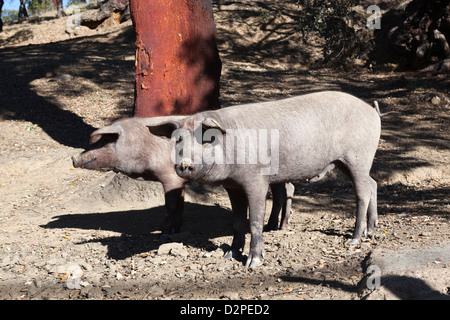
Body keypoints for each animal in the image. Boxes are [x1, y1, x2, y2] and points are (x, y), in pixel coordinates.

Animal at [71, 117, 294, 240]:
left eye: (106, 139)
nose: (74, 158)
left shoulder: (170, 177)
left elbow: (170, 206)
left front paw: (164, 234)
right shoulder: (179, 181)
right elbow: (179, 204)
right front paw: (178, 228)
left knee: (285, 192)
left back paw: (277, 227)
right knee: (283, 193)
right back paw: (275, 226)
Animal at [149, 91, 382, 266]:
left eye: (207, 139)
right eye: (177, 140)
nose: (184, 164)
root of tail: (372, 111)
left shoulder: (256, 180)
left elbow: (254, 219)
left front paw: (253, 262)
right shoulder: (232, 186)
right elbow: (237, 220)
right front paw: (230, 254)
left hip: (358, 157)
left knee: (362, 192)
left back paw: (354, 239)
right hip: (350, 162)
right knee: (373, 184)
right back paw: (371, 232)